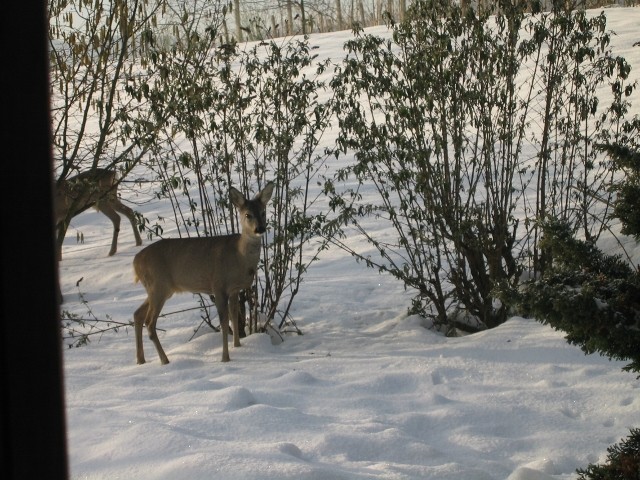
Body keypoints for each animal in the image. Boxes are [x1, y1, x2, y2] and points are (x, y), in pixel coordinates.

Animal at [134, 182, 274, 366]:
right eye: (248, 214)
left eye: (263, 212)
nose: (260, 228)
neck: (239, 256)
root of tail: (135, 262)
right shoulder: (218, 285)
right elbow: (224, 322)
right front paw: (225, 358)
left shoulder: (234, 289)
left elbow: (234, 318)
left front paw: (238, 346)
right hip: (159, 285)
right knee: (150, 323)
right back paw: (165, 360)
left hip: (159, 288)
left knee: (137, 314)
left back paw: (141, 360)